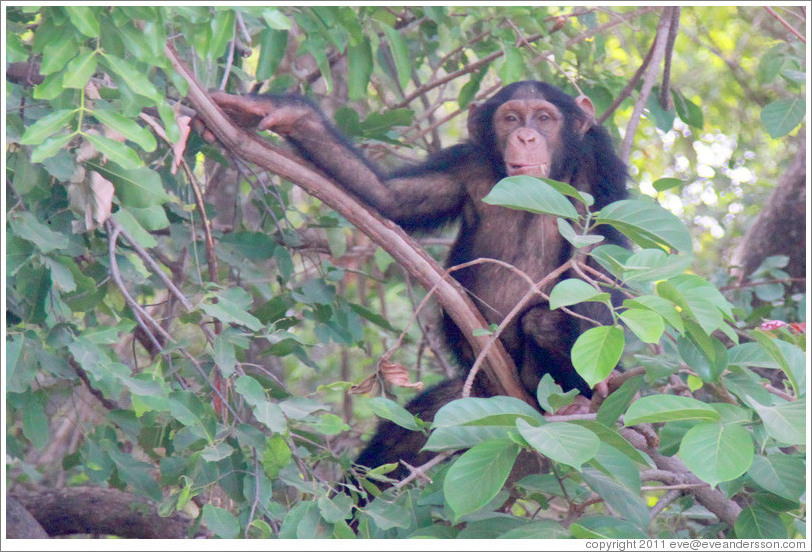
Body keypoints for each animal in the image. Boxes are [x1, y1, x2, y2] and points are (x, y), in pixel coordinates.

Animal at [201, 81, 628, 484]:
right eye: (510, 119)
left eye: (543, 118)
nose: (525, 136)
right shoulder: (462, 166)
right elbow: (392, 197)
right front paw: (285, 111)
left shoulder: (597, 164)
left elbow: (597, 257)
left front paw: (603, 379)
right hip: (463, 406)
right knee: (385, 456)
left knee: (544, 322)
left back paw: (578, 401)